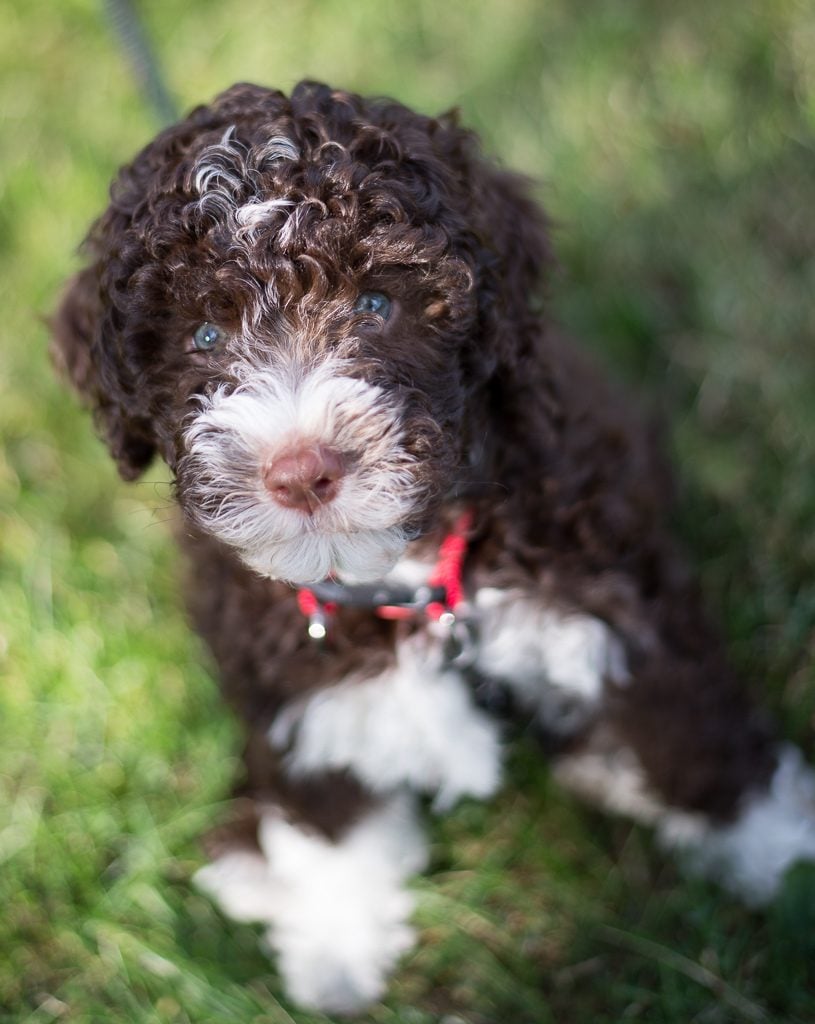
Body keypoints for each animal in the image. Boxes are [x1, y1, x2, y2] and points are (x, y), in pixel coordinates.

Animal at [52, 81, 815, 1015]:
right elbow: (334, 828)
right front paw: (335, 956)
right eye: (202, 337)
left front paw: (781, 861)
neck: (412, 579)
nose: (300, 472)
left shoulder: (616, 608)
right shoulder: (299, 690)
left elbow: (694, 744)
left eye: (376, 304)